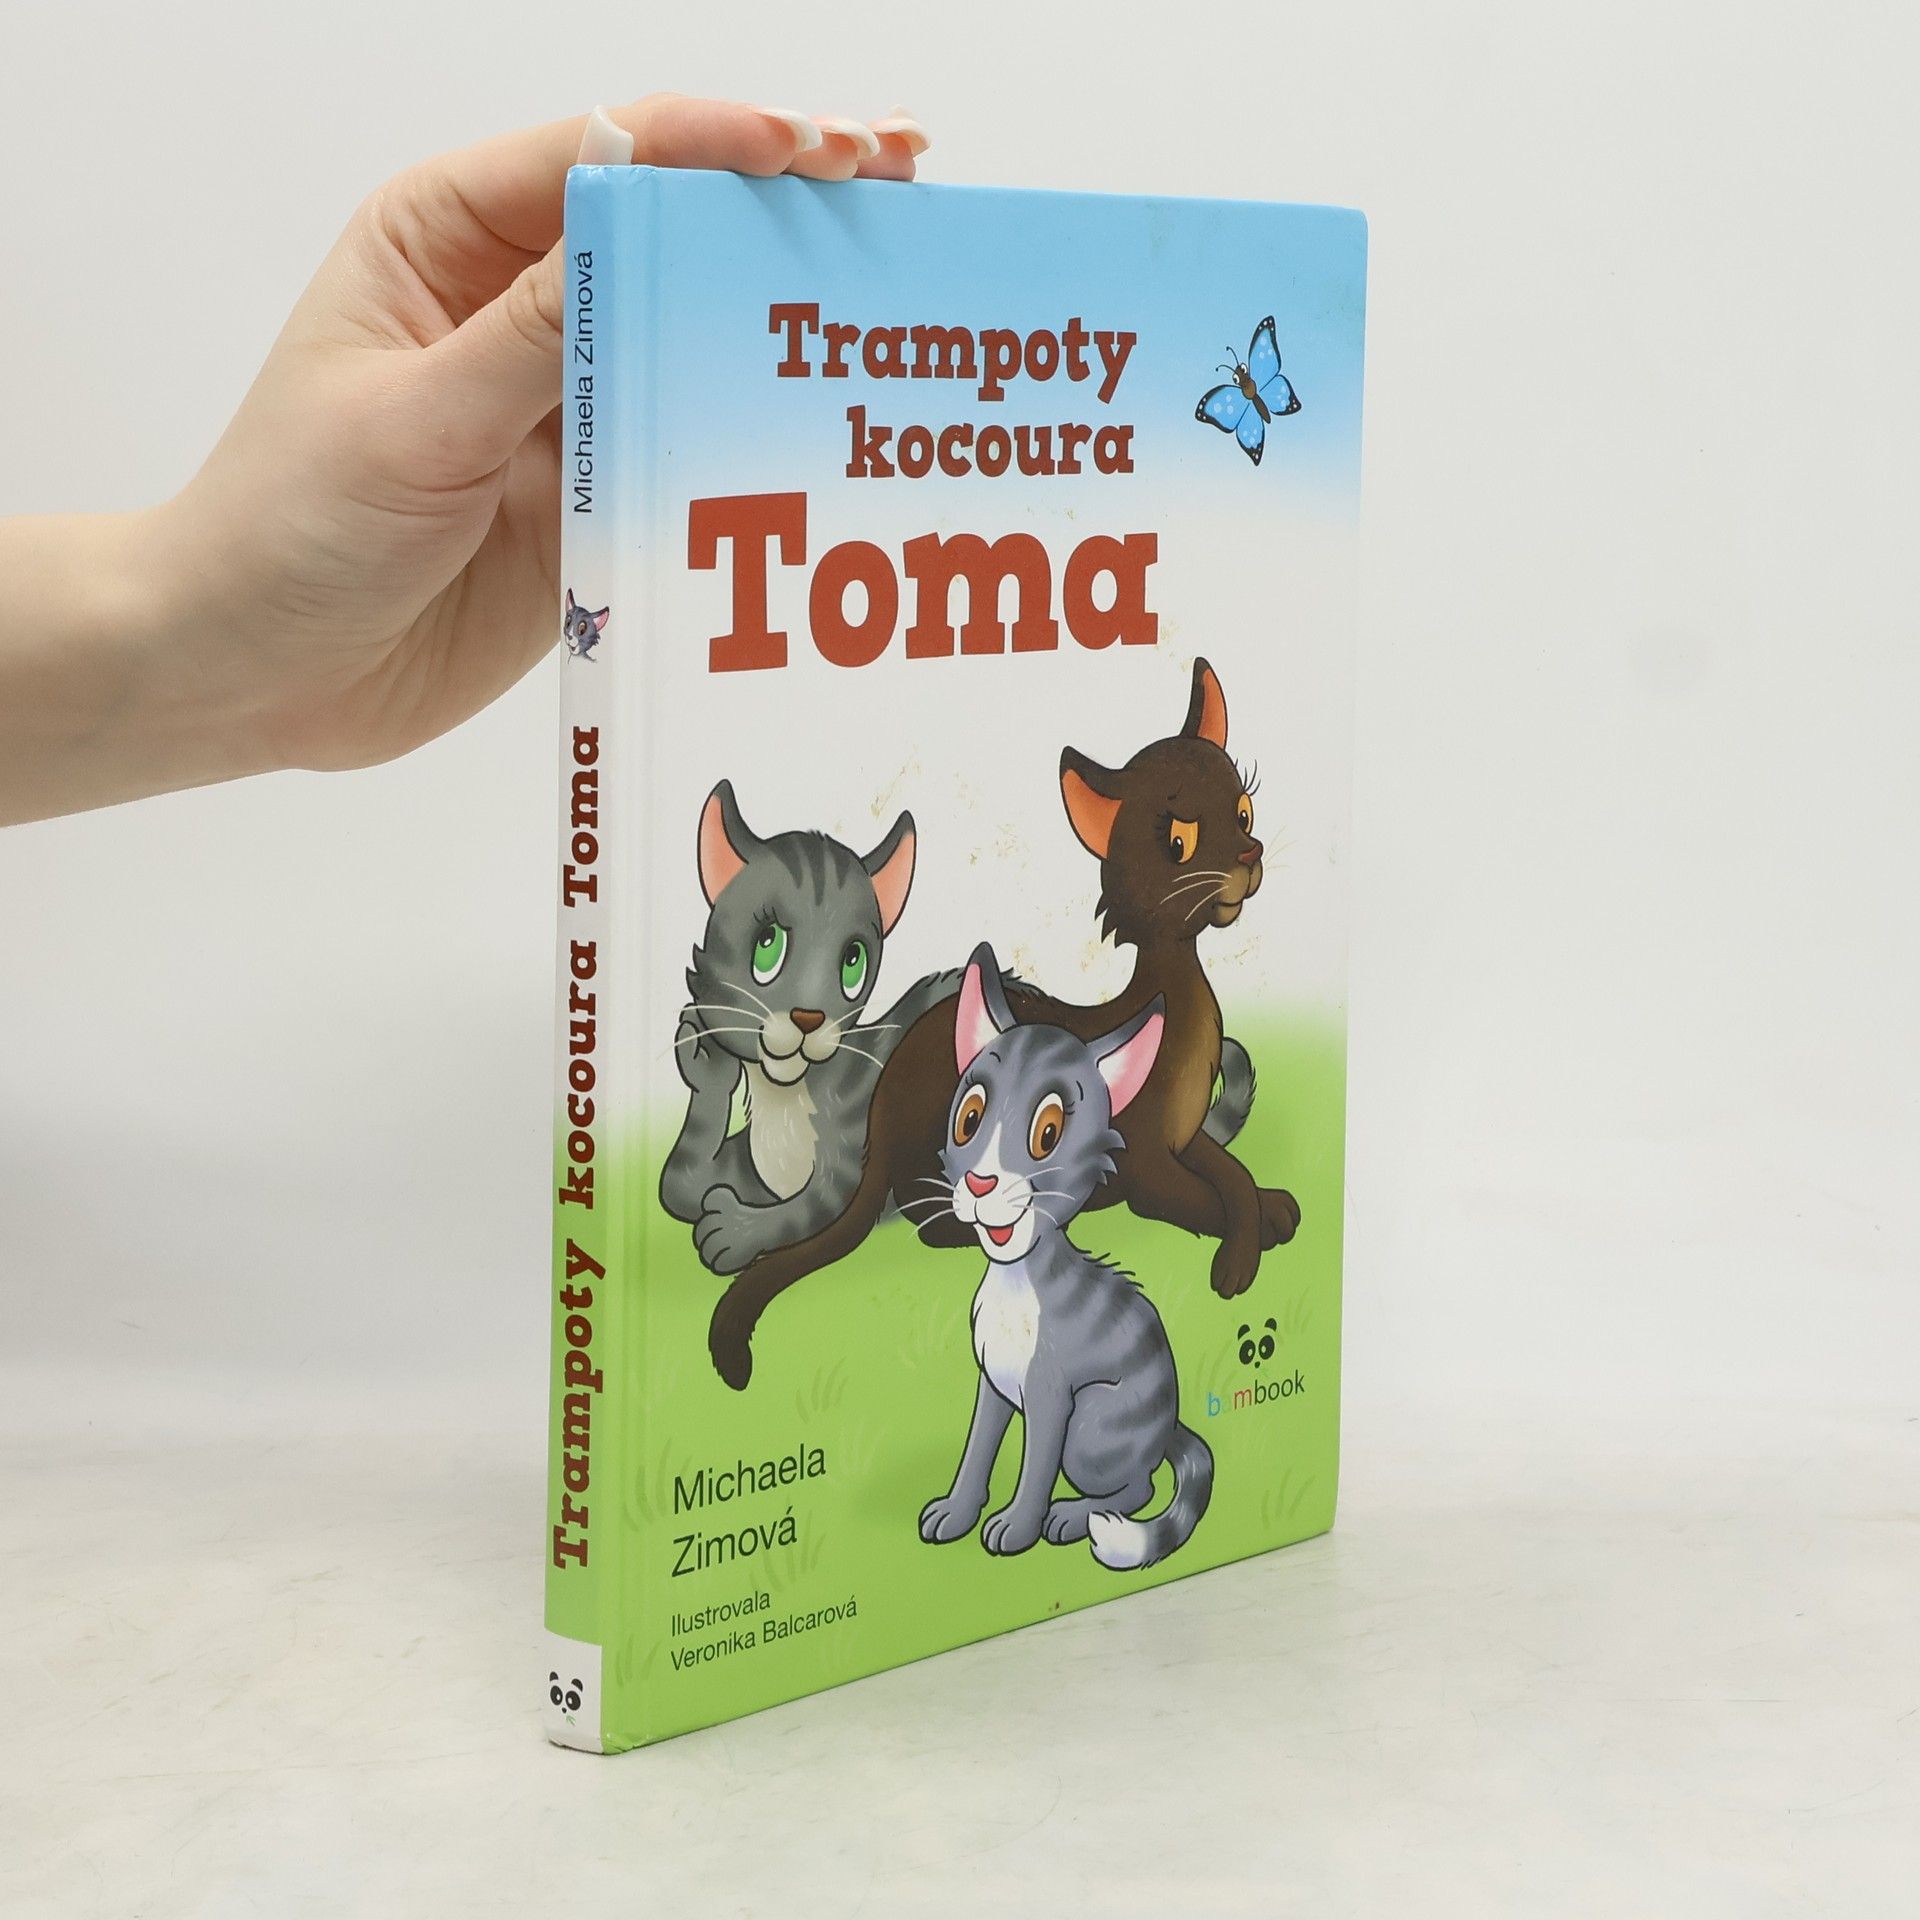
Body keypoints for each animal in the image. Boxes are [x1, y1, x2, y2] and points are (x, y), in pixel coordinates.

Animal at [660, 779, 957, 1275]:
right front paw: (706, 1063)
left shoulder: (850, 1168)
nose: (808, 1018)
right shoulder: (744, 1167)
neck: (783, 1098)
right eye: (768, 945)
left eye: (853, 962)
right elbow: (681, 1181)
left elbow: (803, 1211)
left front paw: (735, 1231)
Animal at [709, 657, 1296, 1390]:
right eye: (1180, 843)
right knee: (932, 1221)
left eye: (1244, 811)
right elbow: (1204, 1200)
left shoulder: (1188, 1141)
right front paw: (1243, 1254)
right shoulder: (1148, 1166)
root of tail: (879, 1120)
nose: (1250, 856)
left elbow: (1235, 1178)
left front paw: (1271, 1205)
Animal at [917, 943, 1213, 1568]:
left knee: (1139, 1487)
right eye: (969, 1119)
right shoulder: (992, 1382)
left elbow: (1035, 1468)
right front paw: (957, 1510)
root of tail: (1170, 1425)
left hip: (1095, 1423)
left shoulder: (1052, 1396)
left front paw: (1017, 1527)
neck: (1015, 1282)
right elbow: (977, 1448)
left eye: (1048, 1133)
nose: (980, 1184)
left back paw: (1077, 1517)